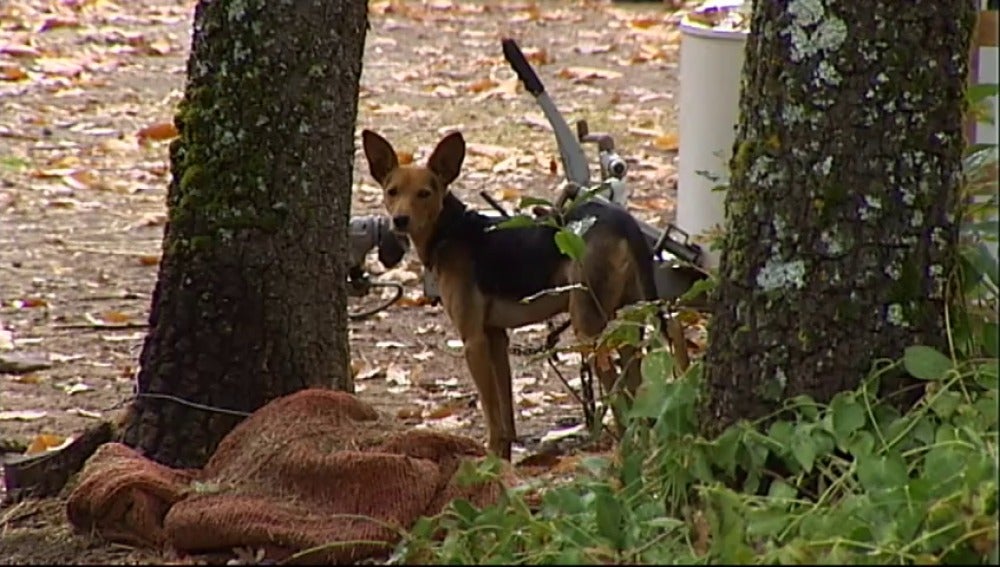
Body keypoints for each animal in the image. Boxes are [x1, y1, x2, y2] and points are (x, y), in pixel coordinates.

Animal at [360, 130, 664, 462]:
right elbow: (505, 413)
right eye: (392, 191)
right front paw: (503, 460)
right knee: (635, 391)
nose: (399, 220)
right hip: (629, 322)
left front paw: (490, 459)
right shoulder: (496, 338)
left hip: (588, 326)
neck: (451, 229)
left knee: (618, 397)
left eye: (425, 193)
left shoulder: (473, 341)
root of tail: (624, 221)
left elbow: (491, 411)